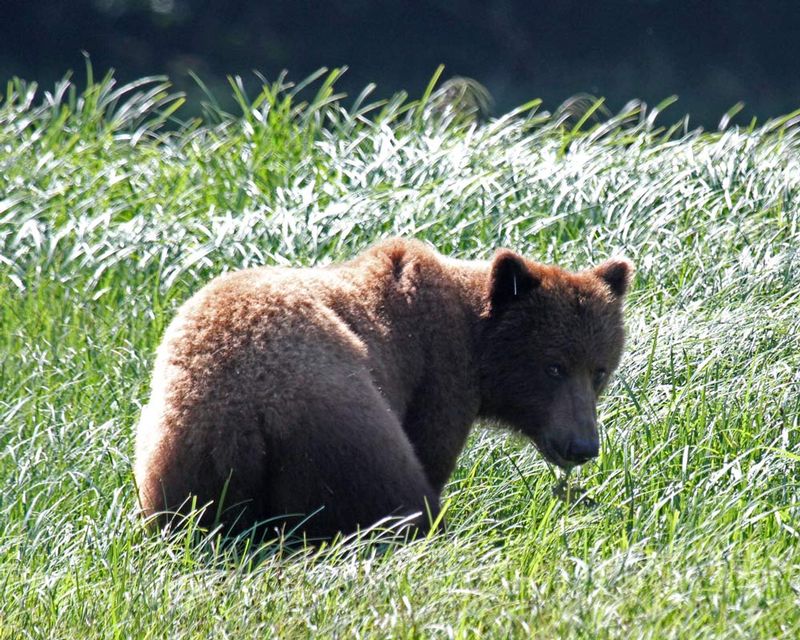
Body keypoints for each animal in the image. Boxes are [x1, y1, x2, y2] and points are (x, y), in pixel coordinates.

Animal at [134, 238, 633, 540]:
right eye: (553, 367)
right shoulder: (437, 378)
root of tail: (241, 418)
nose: (582, 445)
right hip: (342, 431)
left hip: (178, 459)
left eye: (599, 370)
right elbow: (431, 452)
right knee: (393, 497)